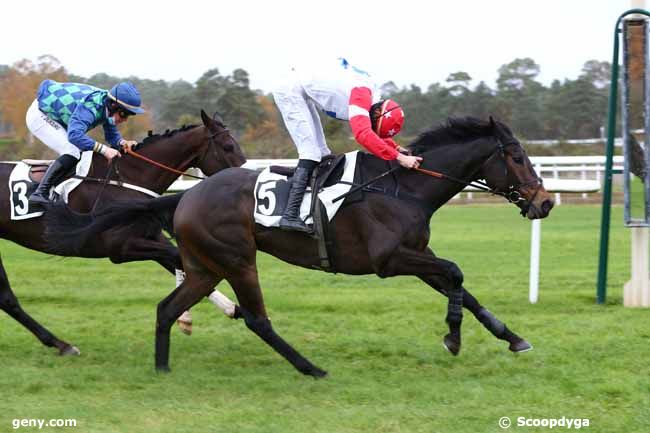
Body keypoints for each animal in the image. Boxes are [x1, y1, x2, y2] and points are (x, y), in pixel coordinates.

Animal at [0, 109, 243, 356]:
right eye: (227, 147)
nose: (242, 177)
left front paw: (225, 310)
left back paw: (59, 343)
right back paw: (61, 344)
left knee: (6, 298)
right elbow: (181, 259)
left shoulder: (149, 237)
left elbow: (179, 261)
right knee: (6, 297)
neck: (126, 179)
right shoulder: (121, 248)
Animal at [48, 117, 552, 374]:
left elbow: (459, 283)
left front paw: (512, 337)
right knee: (255, 318)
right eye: (516, 156)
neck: (403, 187)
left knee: (167, 309)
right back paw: (310, 367)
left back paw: (163, 369)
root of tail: (186, 195)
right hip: (237, 259)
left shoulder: (417, 255)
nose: (545, 201)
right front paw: (453, 336)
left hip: (205, 266)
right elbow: (455, 273)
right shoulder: (390, 260)